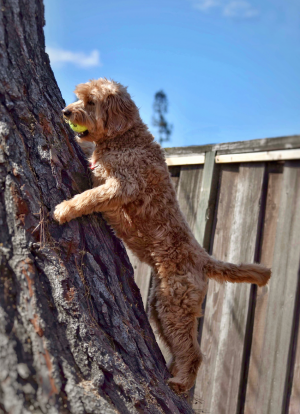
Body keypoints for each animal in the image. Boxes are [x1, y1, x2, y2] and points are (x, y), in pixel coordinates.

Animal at [54, 78, 272, 394]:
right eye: (78, 97)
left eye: (91, 101)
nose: (66, 111)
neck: (125, 137)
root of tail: (203, 258)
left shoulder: (122, 185)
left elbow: (89, 196)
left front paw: (64, 209)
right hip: (161, 306)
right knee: (182, 346)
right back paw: (173, 373)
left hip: (173, 305)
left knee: (194, 353)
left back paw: (180, 383)